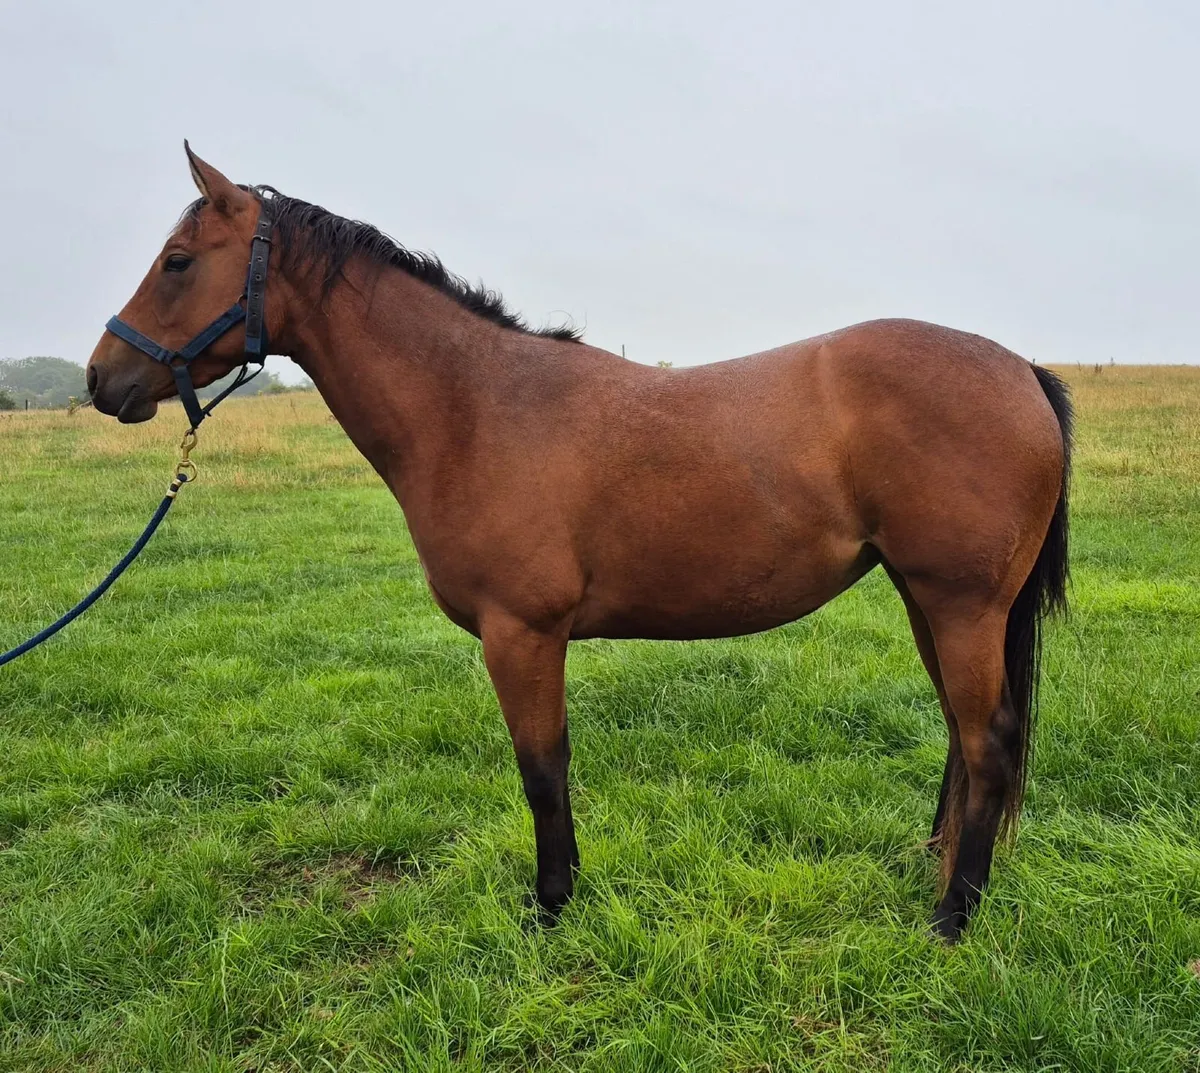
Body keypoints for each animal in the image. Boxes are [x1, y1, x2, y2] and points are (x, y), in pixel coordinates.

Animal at [86, 145, 1071, 942]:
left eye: (178, 262)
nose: (103, 378)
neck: (475, 408)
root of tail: (1022, 370)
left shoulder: (521, 634)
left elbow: (541, 769)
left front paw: (552, 905)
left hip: (960, 604)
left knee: (986, 739)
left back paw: (953, 915)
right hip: (926, 599)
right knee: (961, 733)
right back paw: (932, 867)